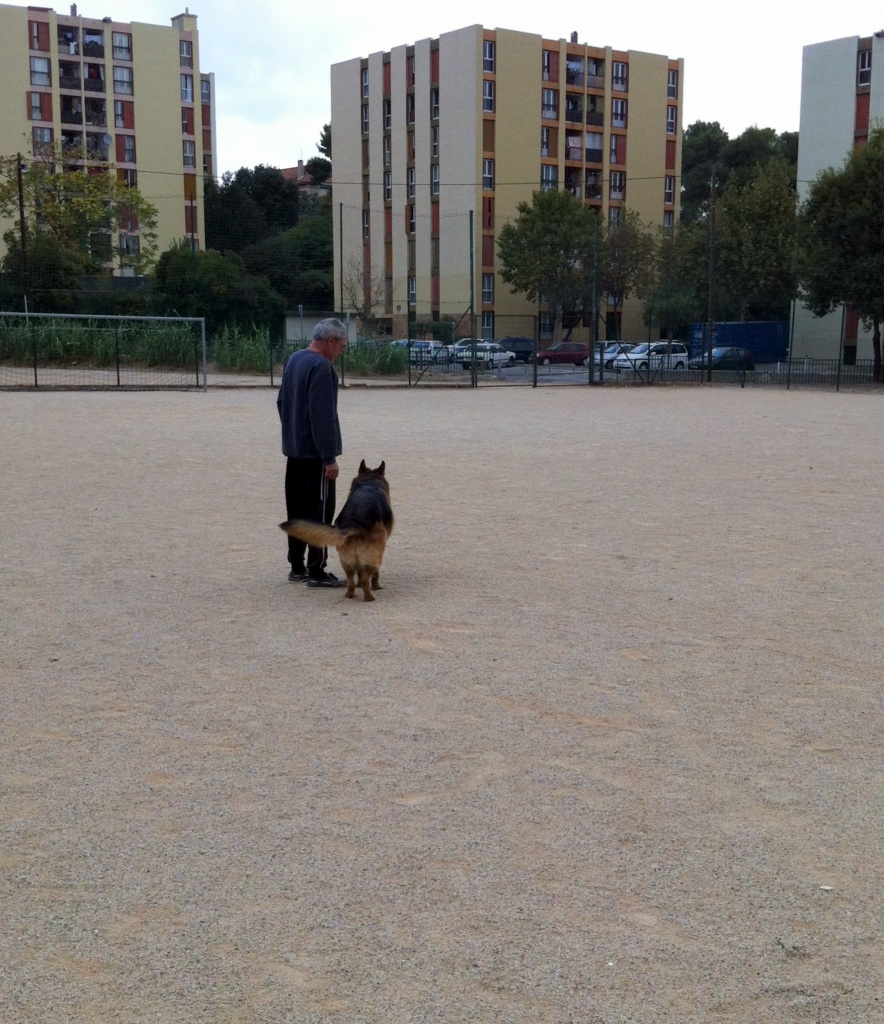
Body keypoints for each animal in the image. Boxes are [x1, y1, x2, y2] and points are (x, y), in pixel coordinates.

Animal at [280, 462, 393, 598]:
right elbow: (375, 574)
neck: (368, 483)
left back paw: (350, 594)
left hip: (346, 560)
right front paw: (377, 586)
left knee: (351, 580)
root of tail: (353, 523)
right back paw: (369, 597)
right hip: (375, 556)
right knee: (366, 578)